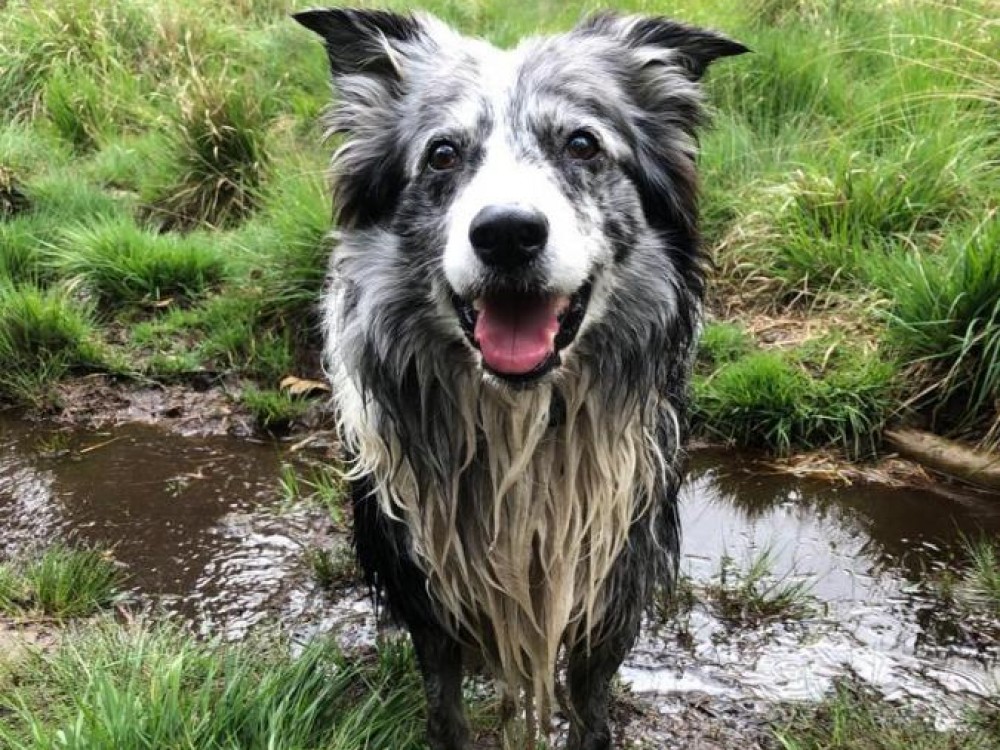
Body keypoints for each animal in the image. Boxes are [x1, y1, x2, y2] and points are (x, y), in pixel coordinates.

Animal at [294, 8, 745, 749]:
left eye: (583, 145)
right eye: (443, 155)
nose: (507, 233)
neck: (521, 430)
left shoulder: (612, 567)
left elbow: (590, 698)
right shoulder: (423, 575)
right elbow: (443, 697)